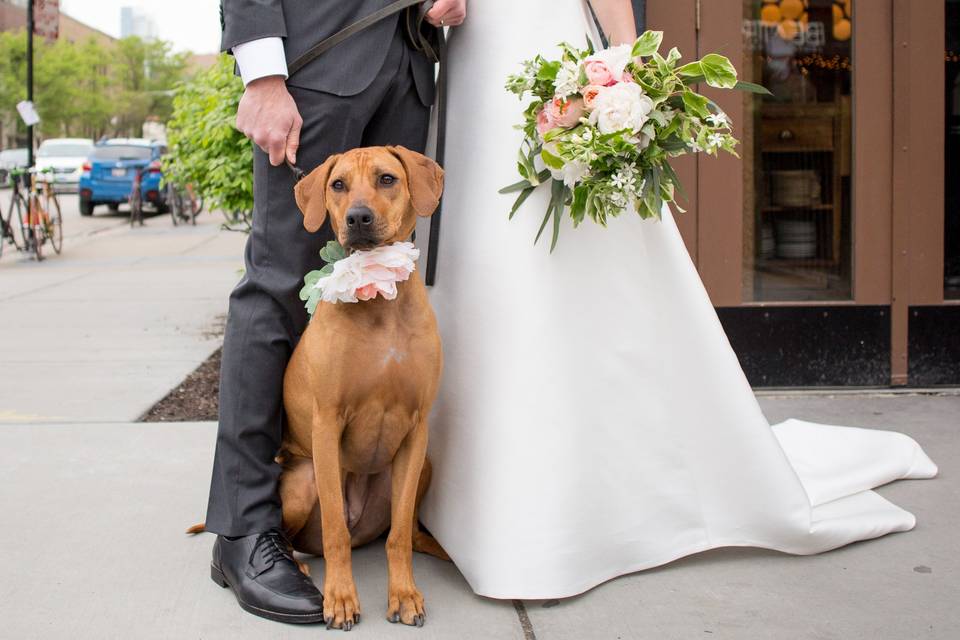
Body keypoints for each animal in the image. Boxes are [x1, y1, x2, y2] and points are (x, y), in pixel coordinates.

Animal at [282, 145, 446, 632]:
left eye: (387, 178)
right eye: (338, 185)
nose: (357, 217)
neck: (380, 303)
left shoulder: (417, 429)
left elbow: (399, 536)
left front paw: (404, 594)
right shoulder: (326, 423)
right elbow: (334, 530)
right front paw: (339, 597)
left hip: (424, 464)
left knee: (405, 530)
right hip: (302, 479)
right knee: (313, 534)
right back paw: (294, 566)